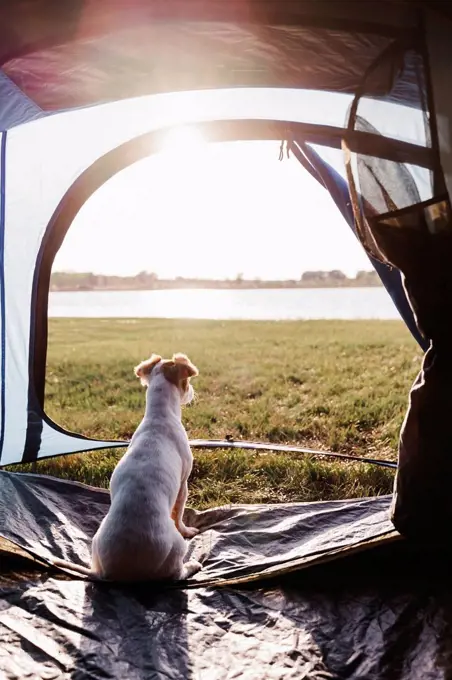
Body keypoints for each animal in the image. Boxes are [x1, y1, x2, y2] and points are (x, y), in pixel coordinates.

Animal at [50, 354, 203, 580]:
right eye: (187, 382)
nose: (192, 392)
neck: (159, 415)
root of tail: (115, 573)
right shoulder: (183, 484)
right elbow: (179, 514)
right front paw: (187, 529)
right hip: (176, 549)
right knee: (176, 574)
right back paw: (193, 565)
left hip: (96, 544)